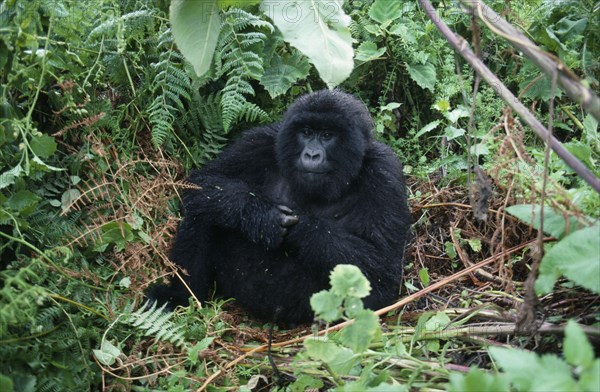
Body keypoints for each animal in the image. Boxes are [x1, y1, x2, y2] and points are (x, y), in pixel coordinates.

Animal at [150, 89, 412, 324]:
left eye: (328, 135)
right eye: (306, 132)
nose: (312, 155)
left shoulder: (384, 172)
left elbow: (382, 272)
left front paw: (302, 229)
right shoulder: (261, 141)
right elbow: (204, 182)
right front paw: (263, 216)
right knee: (204, 208)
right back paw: (178, 296)